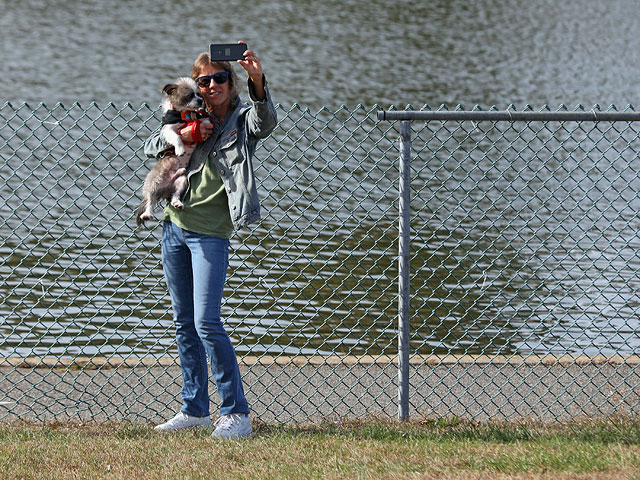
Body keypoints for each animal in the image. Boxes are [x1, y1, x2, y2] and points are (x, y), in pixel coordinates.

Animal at [136, 77, 212, 227]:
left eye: (199, 94)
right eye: (189, 95)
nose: (200, 100)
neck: (184, 114)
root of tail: (165, 189)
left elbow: (202, 120)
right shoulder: (168, 129)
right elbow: (176, 136)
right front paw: (180, 148)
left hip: (181, 180)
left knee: (175, 195)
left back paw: (177, 203)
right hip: (153, 182)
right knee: (150, 200)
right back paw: (148, 213)